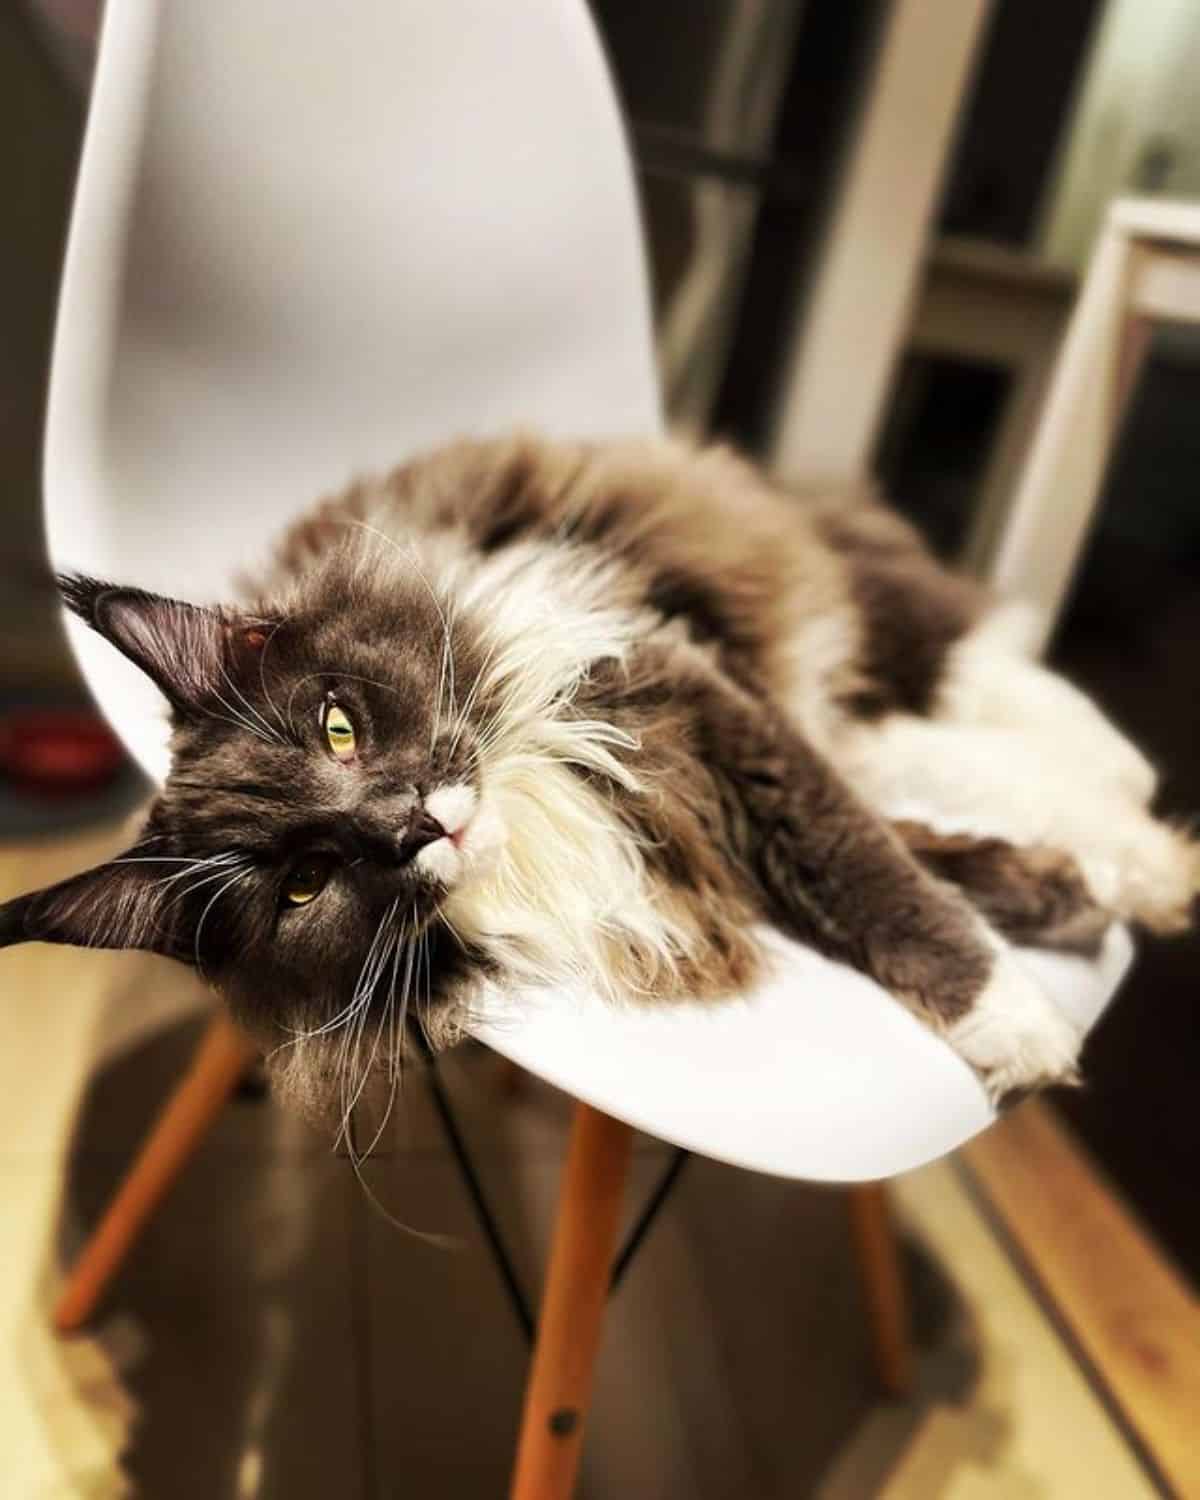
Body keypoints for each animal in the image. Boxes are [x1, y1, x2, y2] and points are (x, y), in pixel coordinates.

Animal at [4, 435, 1194, 1116]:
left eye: (337, 727)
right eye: (304, 884)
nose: (414, 826)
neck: (530, 819)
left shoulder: (684, 686)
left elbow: (865, 864)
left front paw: (1019, 1017)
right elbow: (881, 855)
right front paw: (1054, 908)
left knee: (967, 685)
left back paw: (1144, 812)